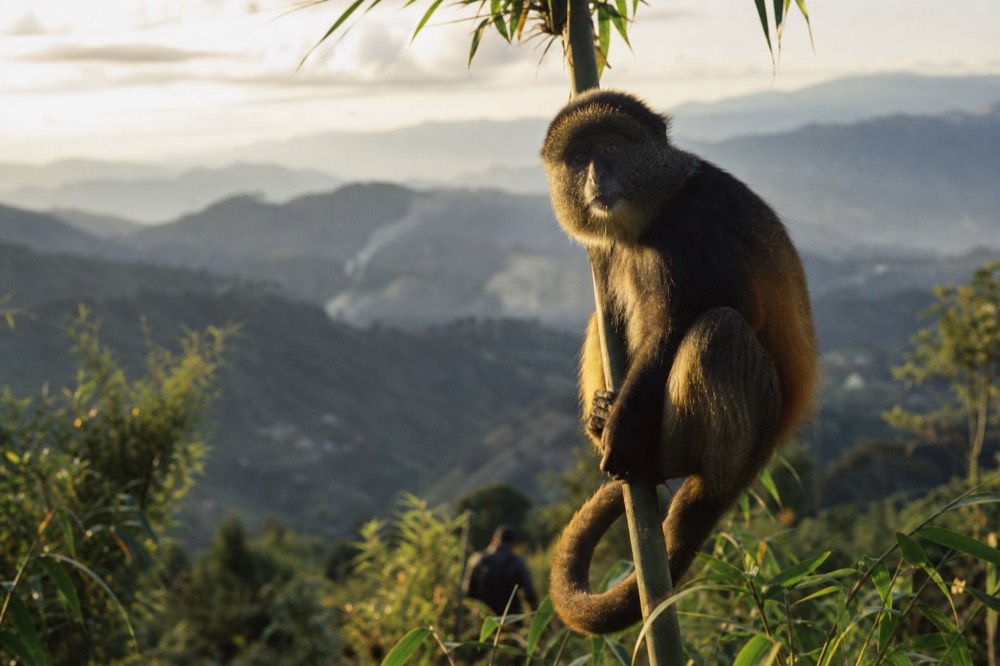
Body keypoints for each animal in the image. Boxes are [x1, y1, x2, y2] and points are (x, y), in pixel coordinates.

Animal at [540, 89, 818, 635]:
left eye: (611, 146)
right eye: (578, 159)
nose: (595, 179)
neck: (653, 213)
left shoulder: (694, 226)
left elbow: (677, 326)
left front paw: (621, 431)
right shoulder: (603, 254)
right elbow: (611, 314)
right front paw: (605, 415)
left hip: (746, 420)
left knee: (719, 328)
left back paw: (656, 459)